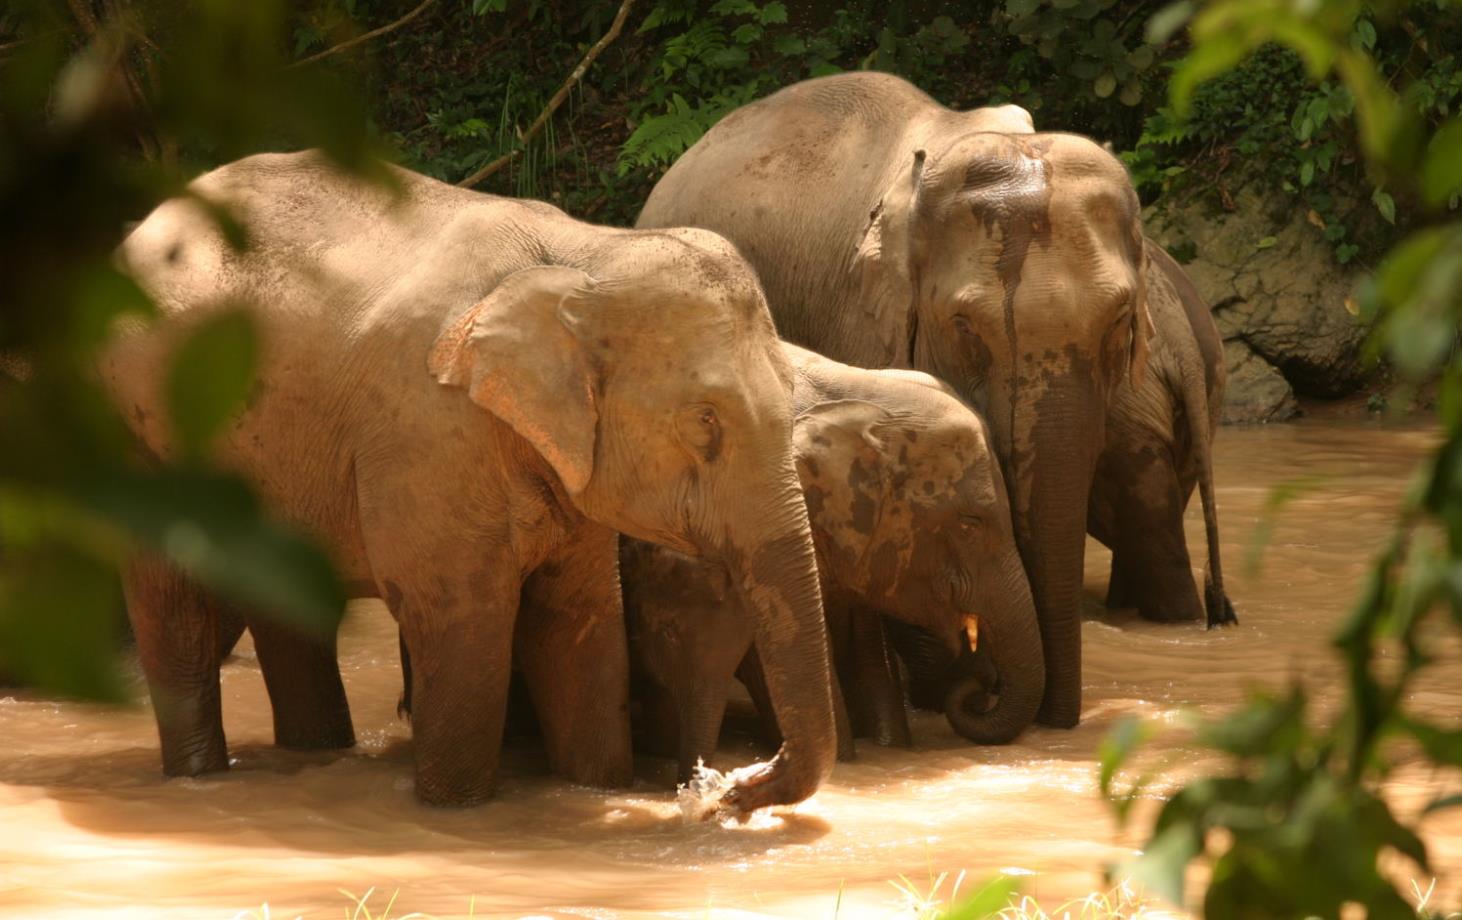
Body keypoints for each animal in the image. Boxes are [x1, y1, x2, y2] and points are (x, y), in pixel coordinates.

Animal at [100, 150, 836, 813]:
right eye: (705, 420)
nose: (734, 788)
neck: (585, 256)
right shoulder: (429, 433)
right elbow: (463, 626)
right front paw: (456, 813)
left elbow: (580, 627)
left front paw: (594, 789)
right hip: (138, 435)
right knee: (174, 608)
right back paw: (199, 778)